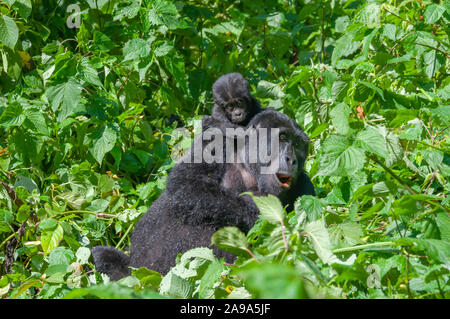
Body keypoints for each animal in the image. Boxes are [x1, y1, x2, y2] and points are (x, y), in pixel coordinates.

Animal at [93, 109, 314, 278]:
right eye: (283, 138)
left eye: (299, 145)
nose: (292, 159)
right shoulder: (216, 142)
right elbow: (185, 185)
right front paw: (255, 207)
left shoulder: (305, 188)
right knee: (100, 256)